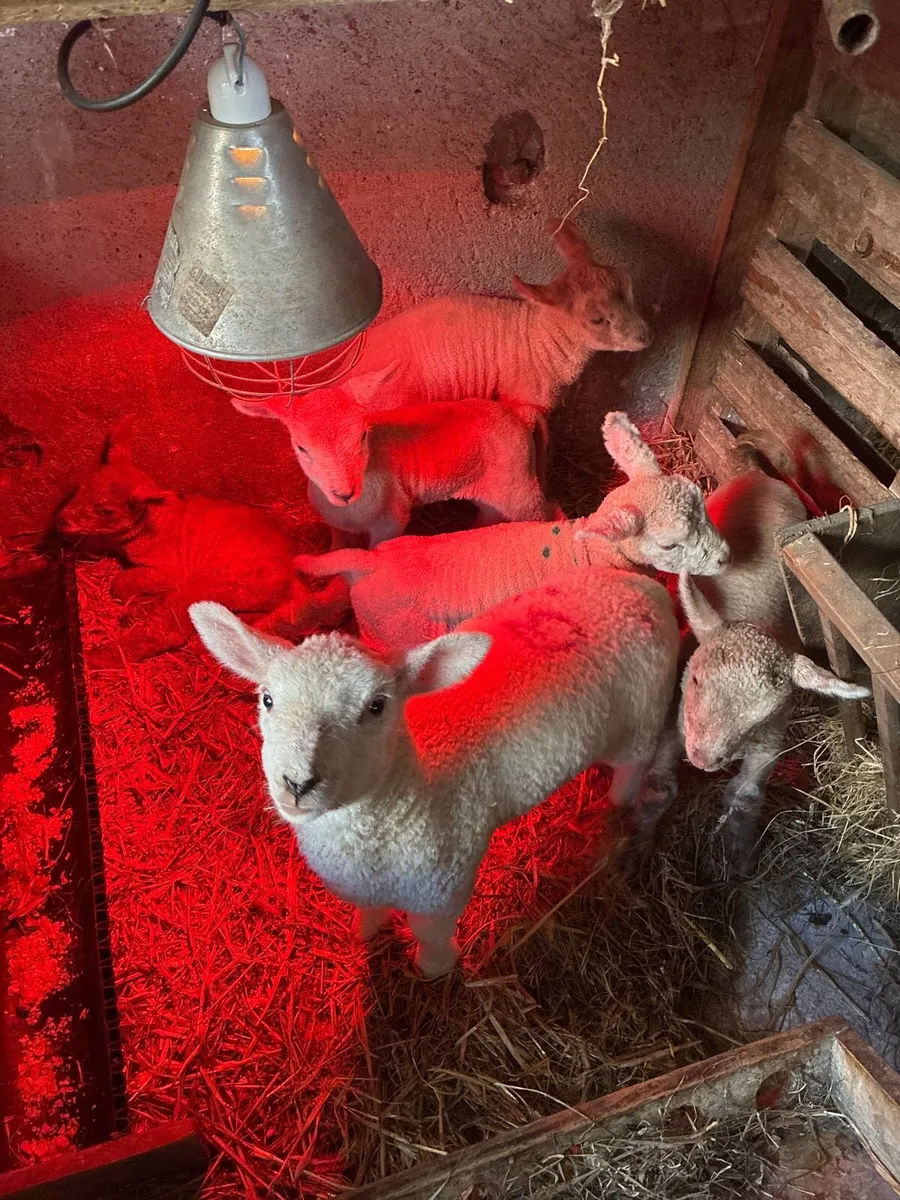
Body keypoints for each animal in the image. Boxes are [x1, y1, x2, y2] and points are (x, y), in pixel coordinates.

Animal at [57, 418, 349, 662]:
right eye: (79, 487)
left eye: (106, 510)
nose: (60, 521)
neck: (149, 522)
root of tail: (292, 575)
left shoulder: (171, 570)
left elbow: (122, 582)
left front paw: (126, 590)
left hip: (211, 585)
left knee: (170, 628)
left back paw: (102, 655)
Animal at [189, 565, 680, 977]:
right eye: (267, 699)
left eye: (376, 707)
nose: (297, 782)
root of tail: (642, 586)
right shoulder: (362, 882)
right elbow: (370, 911)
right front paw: (365, 933)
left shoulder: (443, 884)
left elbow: (429, 933)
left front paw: (434, 969)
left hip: (642, 714)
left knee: (633, 766)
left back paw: (617, 802)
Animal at [240, 379, 550, 548]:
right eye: (301, 447)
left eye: (363, 435)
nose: (344, 493)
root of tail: (520, 413)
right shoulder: (335, 524)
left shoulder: (391, 520)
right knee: (489, 514)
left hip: (520, 488)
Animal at [294, 411, 731, 652]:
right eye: (669, 543)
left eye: (700, 501)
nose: (726, 557)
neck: (589, 554)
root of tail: (367, 563)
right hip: (395, 635)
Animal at [678, 440, 870, 873]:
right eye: (695, 679)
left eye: (759, 715)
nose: (701, 758)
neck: (756, 621)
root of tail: (758, 474)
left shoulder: (770, 735)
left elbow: (747, 793)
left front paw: (736, 854)